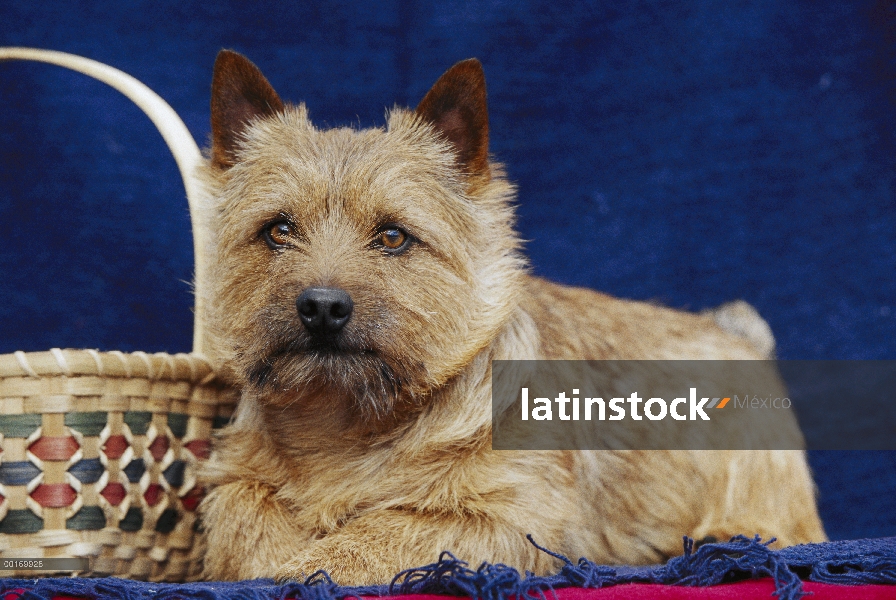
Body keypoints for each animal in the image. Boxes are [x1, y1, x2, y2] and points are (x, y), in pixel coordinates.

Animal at [196, 51, 824, 584]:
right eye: (278, 230)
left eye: (393, 236)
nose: (322, 306)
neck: (344, 424)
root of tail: (739, 336)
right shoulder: (234, 480)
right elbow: (245, 517)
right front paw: (280, 556)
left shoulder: (507, 519)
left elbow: (382, 528)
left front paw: (307, 566)